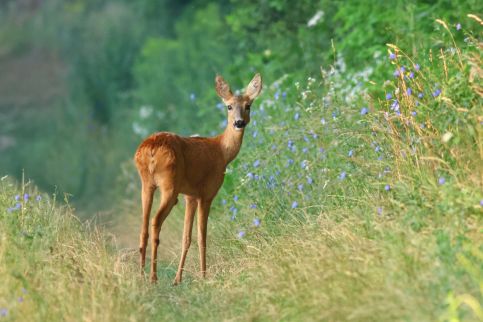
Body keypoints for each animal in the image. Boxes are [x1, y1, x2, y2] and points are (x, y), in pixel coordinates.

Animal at [134, 73, 264, 284]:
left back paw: (141, 274)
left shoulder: (191, 195)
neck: (222, 151)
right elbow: (202, 236)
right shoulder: (207, 193)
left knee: (143, 226)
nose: (238, 123)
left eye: (248, 106)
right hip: (170, 185)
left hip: (146, 183)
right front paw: (204, 276)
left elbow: (186, 237)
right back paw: (153, 277)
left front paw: (178, 279)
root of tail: (151, 149)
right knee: (155, 221)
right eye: (229, 106)